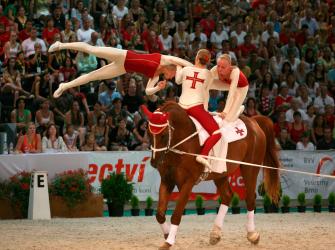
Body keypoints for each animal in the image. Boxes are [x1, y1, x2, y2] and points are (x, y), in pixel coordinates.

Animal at [141, 102, 280, 250]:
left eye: (163, 135)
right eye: (148, 134)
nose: (154, 162)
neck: (182, 144)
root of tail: (253, 121)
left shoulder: (187, 183)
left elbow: (176, 215)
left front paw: (169, 242)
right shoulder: (167, 180)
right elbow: (160, 214)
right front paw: (167, 236)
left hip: (250, 168)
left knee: (250, 198)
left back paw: (252, 234)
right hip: (220, 172)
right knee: (227, 196)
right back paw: (215, 234)